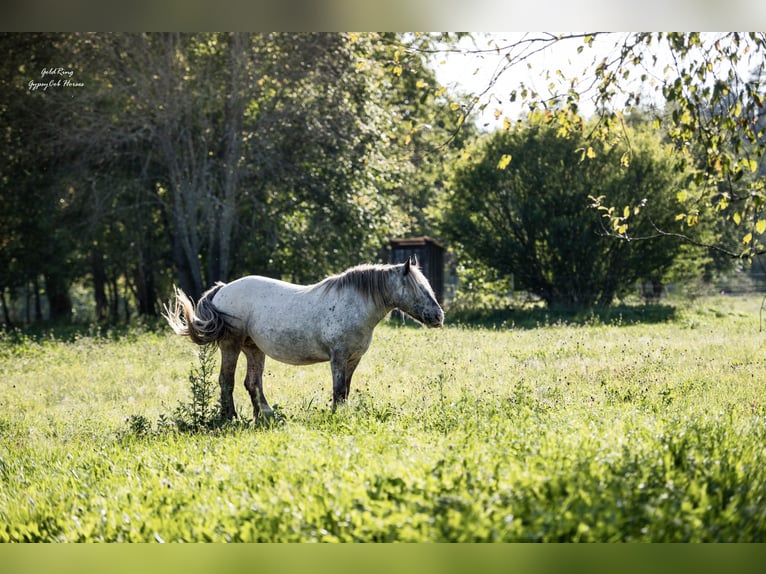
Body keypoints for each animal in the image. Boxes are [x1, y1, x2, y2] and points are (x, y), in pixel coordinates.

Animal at [165, 258, 448, 420]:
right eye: (418, 288)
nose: (438, 316)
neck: (354, 303)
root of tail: (223, 289)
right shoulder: (338, 357)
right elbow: (338, 389)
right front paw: (337, 416)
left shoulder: (353, 359)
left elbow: (345, 389)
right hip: (231, 346)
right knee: (227, 381)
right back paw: (231, 418)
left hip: (254, 349)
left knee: (252, 383)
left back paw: (266, 417)